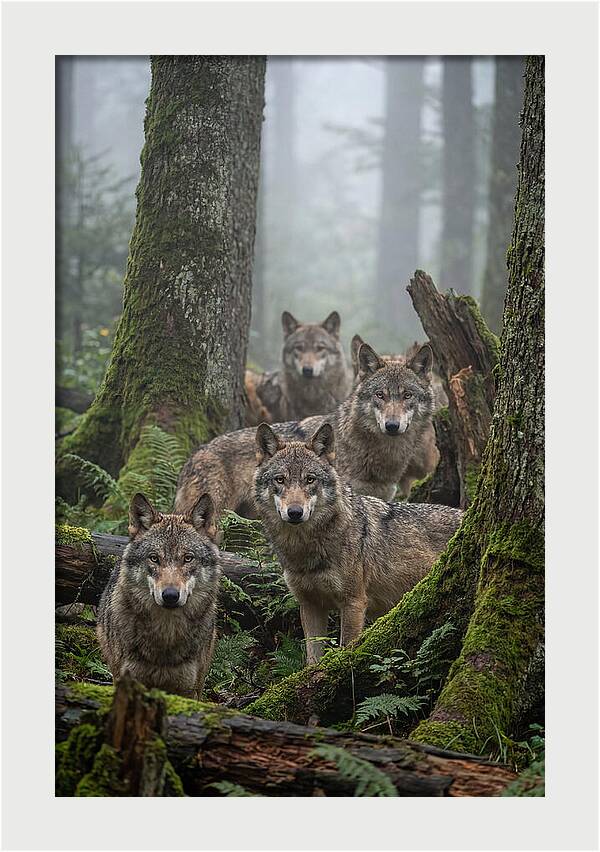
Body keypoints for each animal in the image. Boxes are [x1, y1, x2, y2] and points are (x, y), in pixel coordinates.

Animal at [253, 422, 463, 663]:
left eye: (310, 479)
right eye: (280, 479)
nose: (295, 512)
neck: (305, 549)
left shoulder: (353, 602)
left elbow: (346, 648)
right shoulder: (310, 605)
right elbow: (312, 658)